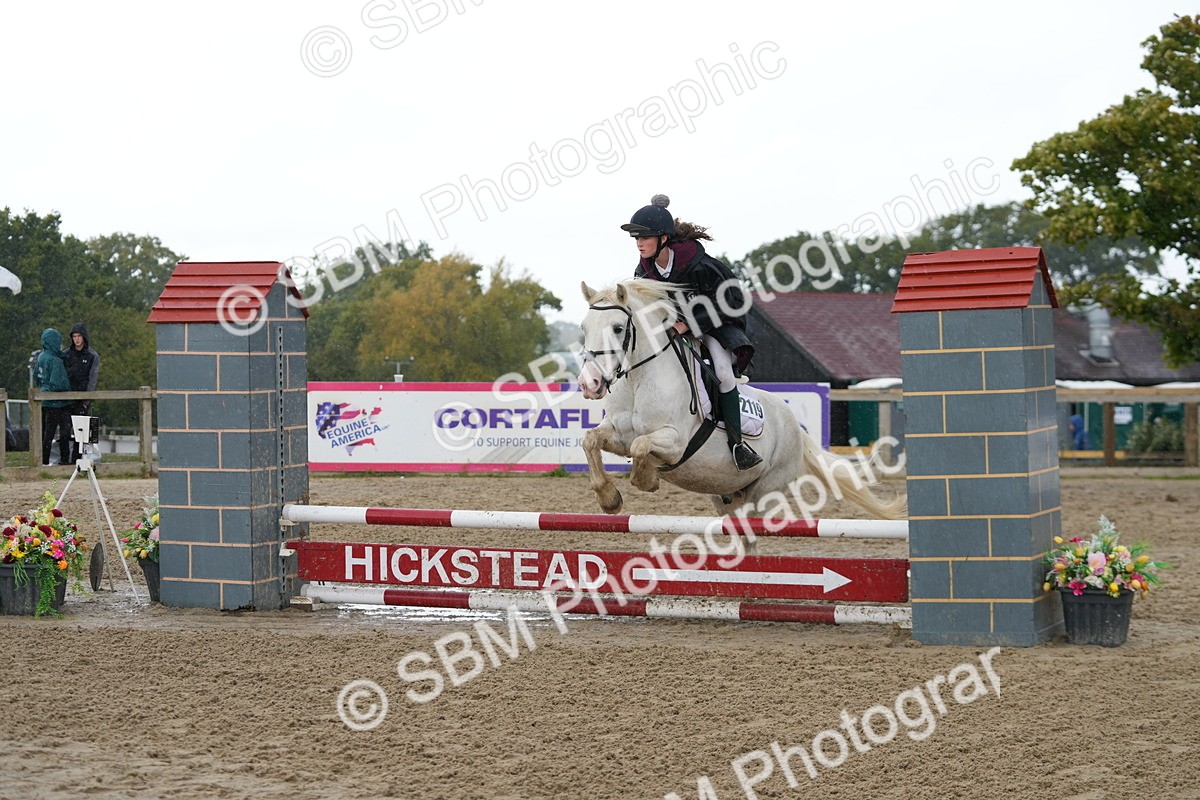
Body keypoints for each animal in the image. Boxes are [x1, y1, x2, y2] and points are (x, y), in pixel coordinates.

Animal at [577, 279, 906, 521]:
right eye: (584, 327)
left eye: (618, 328)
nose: (589, 383)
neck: (638, 380)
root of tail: (795, 427)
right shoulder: (617, 434)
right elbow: (590, 440)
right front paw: (609, 498)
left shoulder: (675, 442)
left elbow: (641, 446)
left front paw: (647, 480)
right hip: (724, 495)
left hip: (765, 491)